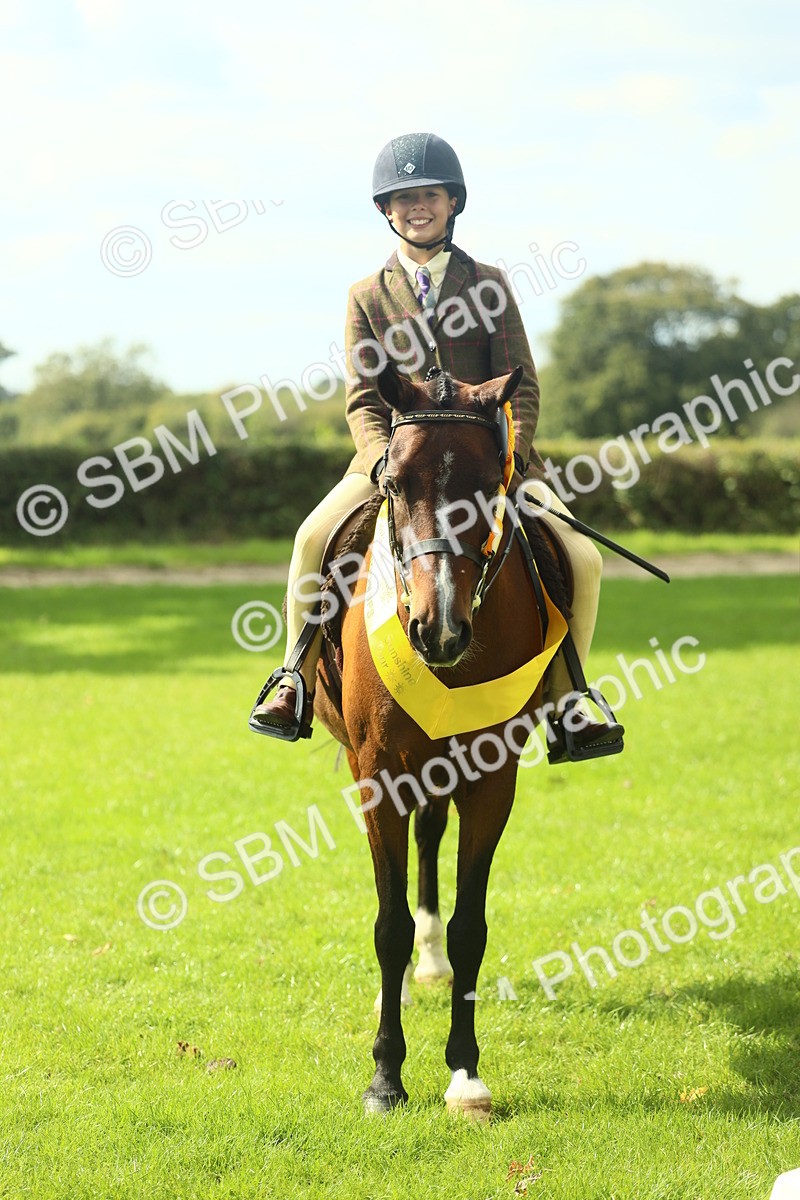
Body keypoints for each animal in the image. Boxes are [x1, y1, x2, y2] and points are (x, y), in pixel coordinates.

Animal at [313, 361, 568, 1120]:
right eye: (395, 484)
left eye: (489, 484)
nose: (439, 630)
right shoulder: (377, 774)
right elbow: (388, 924)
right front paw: (385, 1077)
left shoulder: (491, 779)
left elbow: (469, 925)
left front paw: (465, 1074)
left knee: (430, 843)